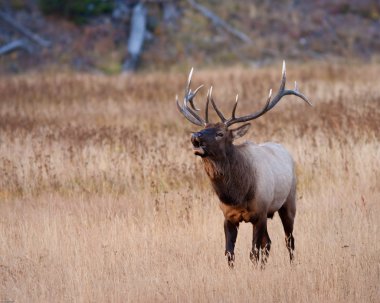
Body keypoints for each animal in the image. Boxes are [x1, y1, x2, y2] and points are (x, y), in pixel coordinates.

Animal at [177, 61, 310, 268]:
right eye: (204, 129)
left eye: (220, 133)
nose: (195, 138)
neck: (237, 194)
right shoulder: (228, 217)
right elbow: (229, 253)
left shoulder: (260, 213)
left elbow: (253, 252)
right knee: (269, 242)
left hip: (289, 202)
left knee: (289, 240)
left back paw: (292, 265)